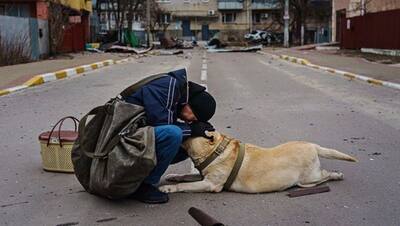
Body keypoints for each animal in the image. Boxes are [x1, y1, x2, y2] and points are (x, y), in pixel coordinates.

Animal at [159, 132, 356, 193]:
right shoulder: (203, 176)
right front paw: (173, 176)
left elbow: (185, 186)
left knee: (325, 175)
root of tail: (313, 145)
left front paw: (168, 188)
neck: (215, 152)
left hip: (308, 179)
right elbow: (185, 176)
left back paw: (337, 175)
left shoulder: (210, 184)